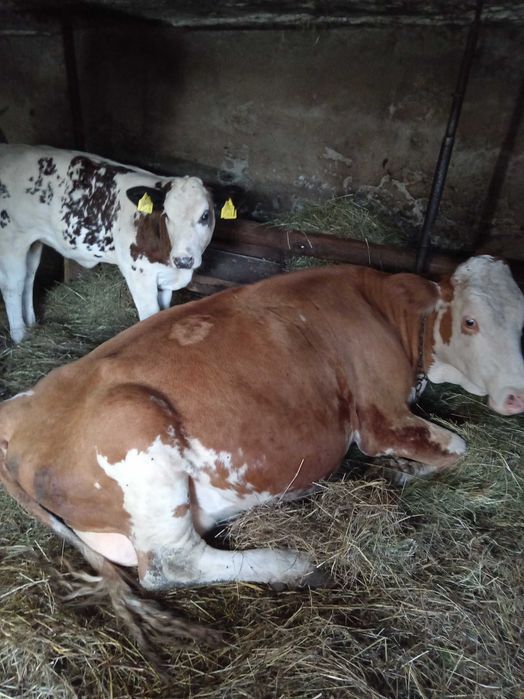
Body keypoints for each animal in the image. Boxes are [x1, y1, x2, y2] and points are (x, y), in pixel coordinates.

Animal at [0, 144, 215, 343]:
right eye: (167, 215)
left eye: (205, 215)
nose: (183, 260)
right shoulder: (138, 274)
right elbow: (150, 316)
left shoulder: (165, 279)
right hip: (11, 239)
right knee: (13, 285)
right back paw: (19, 336)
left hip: (33, 240)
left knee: (29, 277)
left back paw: (31, 323)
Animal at [0, 255, 523, 645]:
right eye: (471, 321)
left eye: (521, 322)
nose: (517, 395)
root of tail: (17, 422)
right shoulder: (381, 418)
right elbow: (459, 447)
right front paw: (398, 470)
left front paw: (397, 469)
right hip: (135, 431)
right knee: (173, 564)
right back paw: (294, 566)